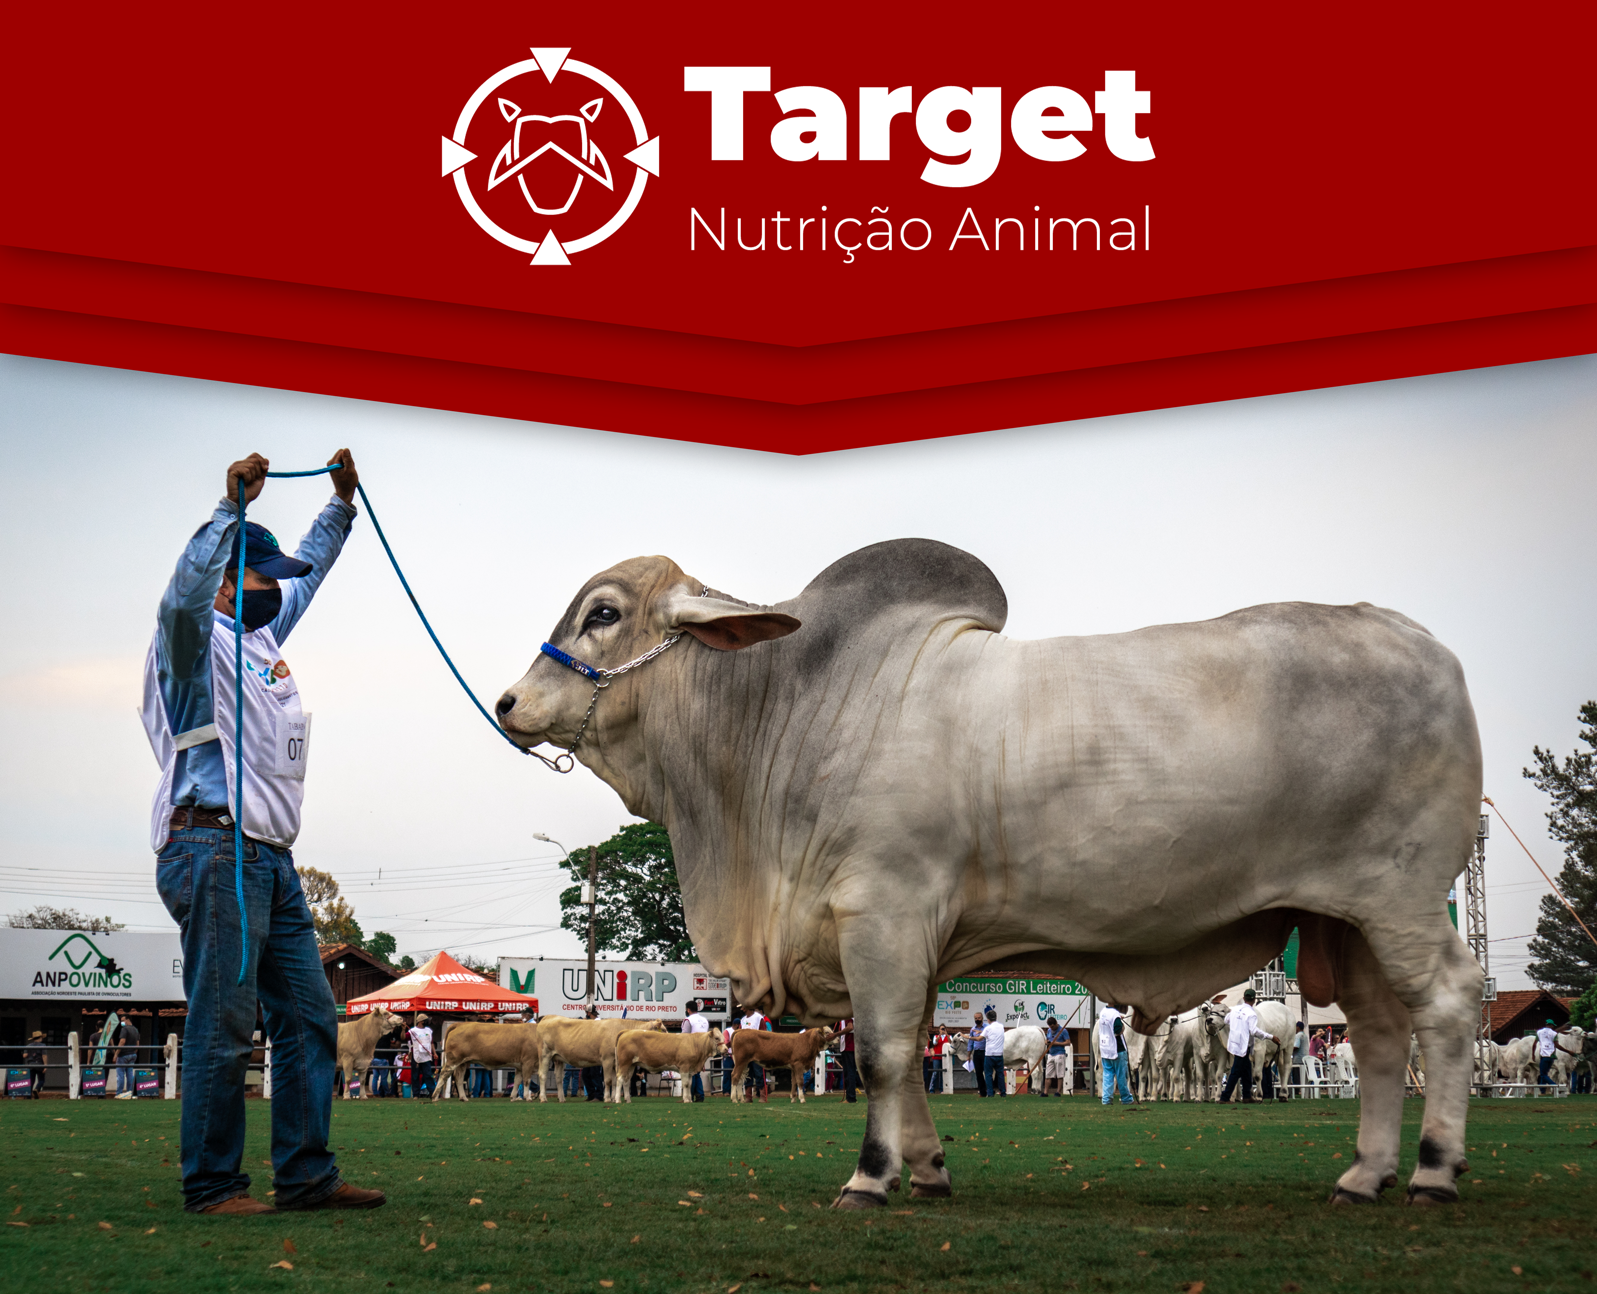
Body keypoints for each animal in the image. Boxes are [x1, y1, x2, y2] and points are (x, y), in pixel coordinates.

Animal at [533, 1016, 664, 1099]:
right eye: (663, 1029)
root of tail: (549, 1017)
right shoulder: (607, 1059)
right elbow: (608, 1080)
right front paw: (607, 1098)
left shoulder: (615, 1063)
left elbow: (615, 1081)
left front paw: (613, 1098)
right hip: (544, 1054)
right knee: (542, 1075)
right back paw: (543, 1098)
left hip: (558, 1058)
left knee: (558, 1078)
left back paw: (561, 1099)